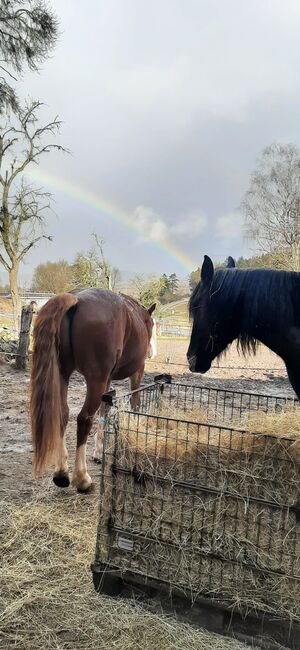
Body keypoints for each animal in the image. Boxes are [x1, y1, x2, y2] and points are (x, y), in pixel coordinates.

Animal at [30, 288, 156, 492]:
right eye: (152, 324)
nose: (151, 353)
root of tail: (77, 299)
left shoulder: (108, 381)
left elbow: (105, 410)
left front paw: (99, 451)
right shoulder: (136, 373)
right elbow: (135, 404)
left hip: (63, 374)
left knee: (63, 414)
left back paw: (61, 473)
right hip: (95, 380)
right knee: (84, 419)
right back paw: (81, 478)